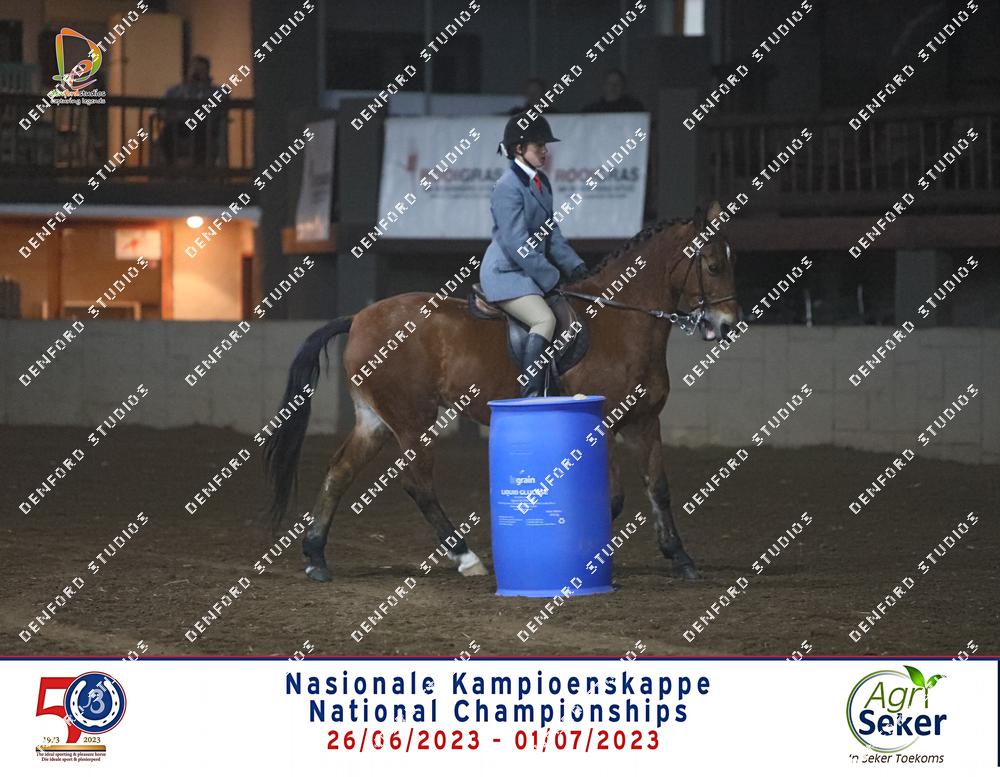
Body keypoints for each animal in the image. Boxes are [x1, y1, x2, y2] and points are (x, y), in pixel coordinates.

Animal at [263, 200, 740, 583]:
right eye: (713, 265)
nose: (727, 325)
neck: (621, 323)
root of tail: (359, 318)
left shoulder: (645, 422)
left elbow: (659, 489)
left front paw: (680, 558)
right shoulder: (600, 425)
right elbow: (614, 497)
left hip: (375, 420)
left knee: (340, 471)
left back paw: (316, 557)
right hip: (413, 419)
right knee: (418, 485)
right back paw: (466, 558)